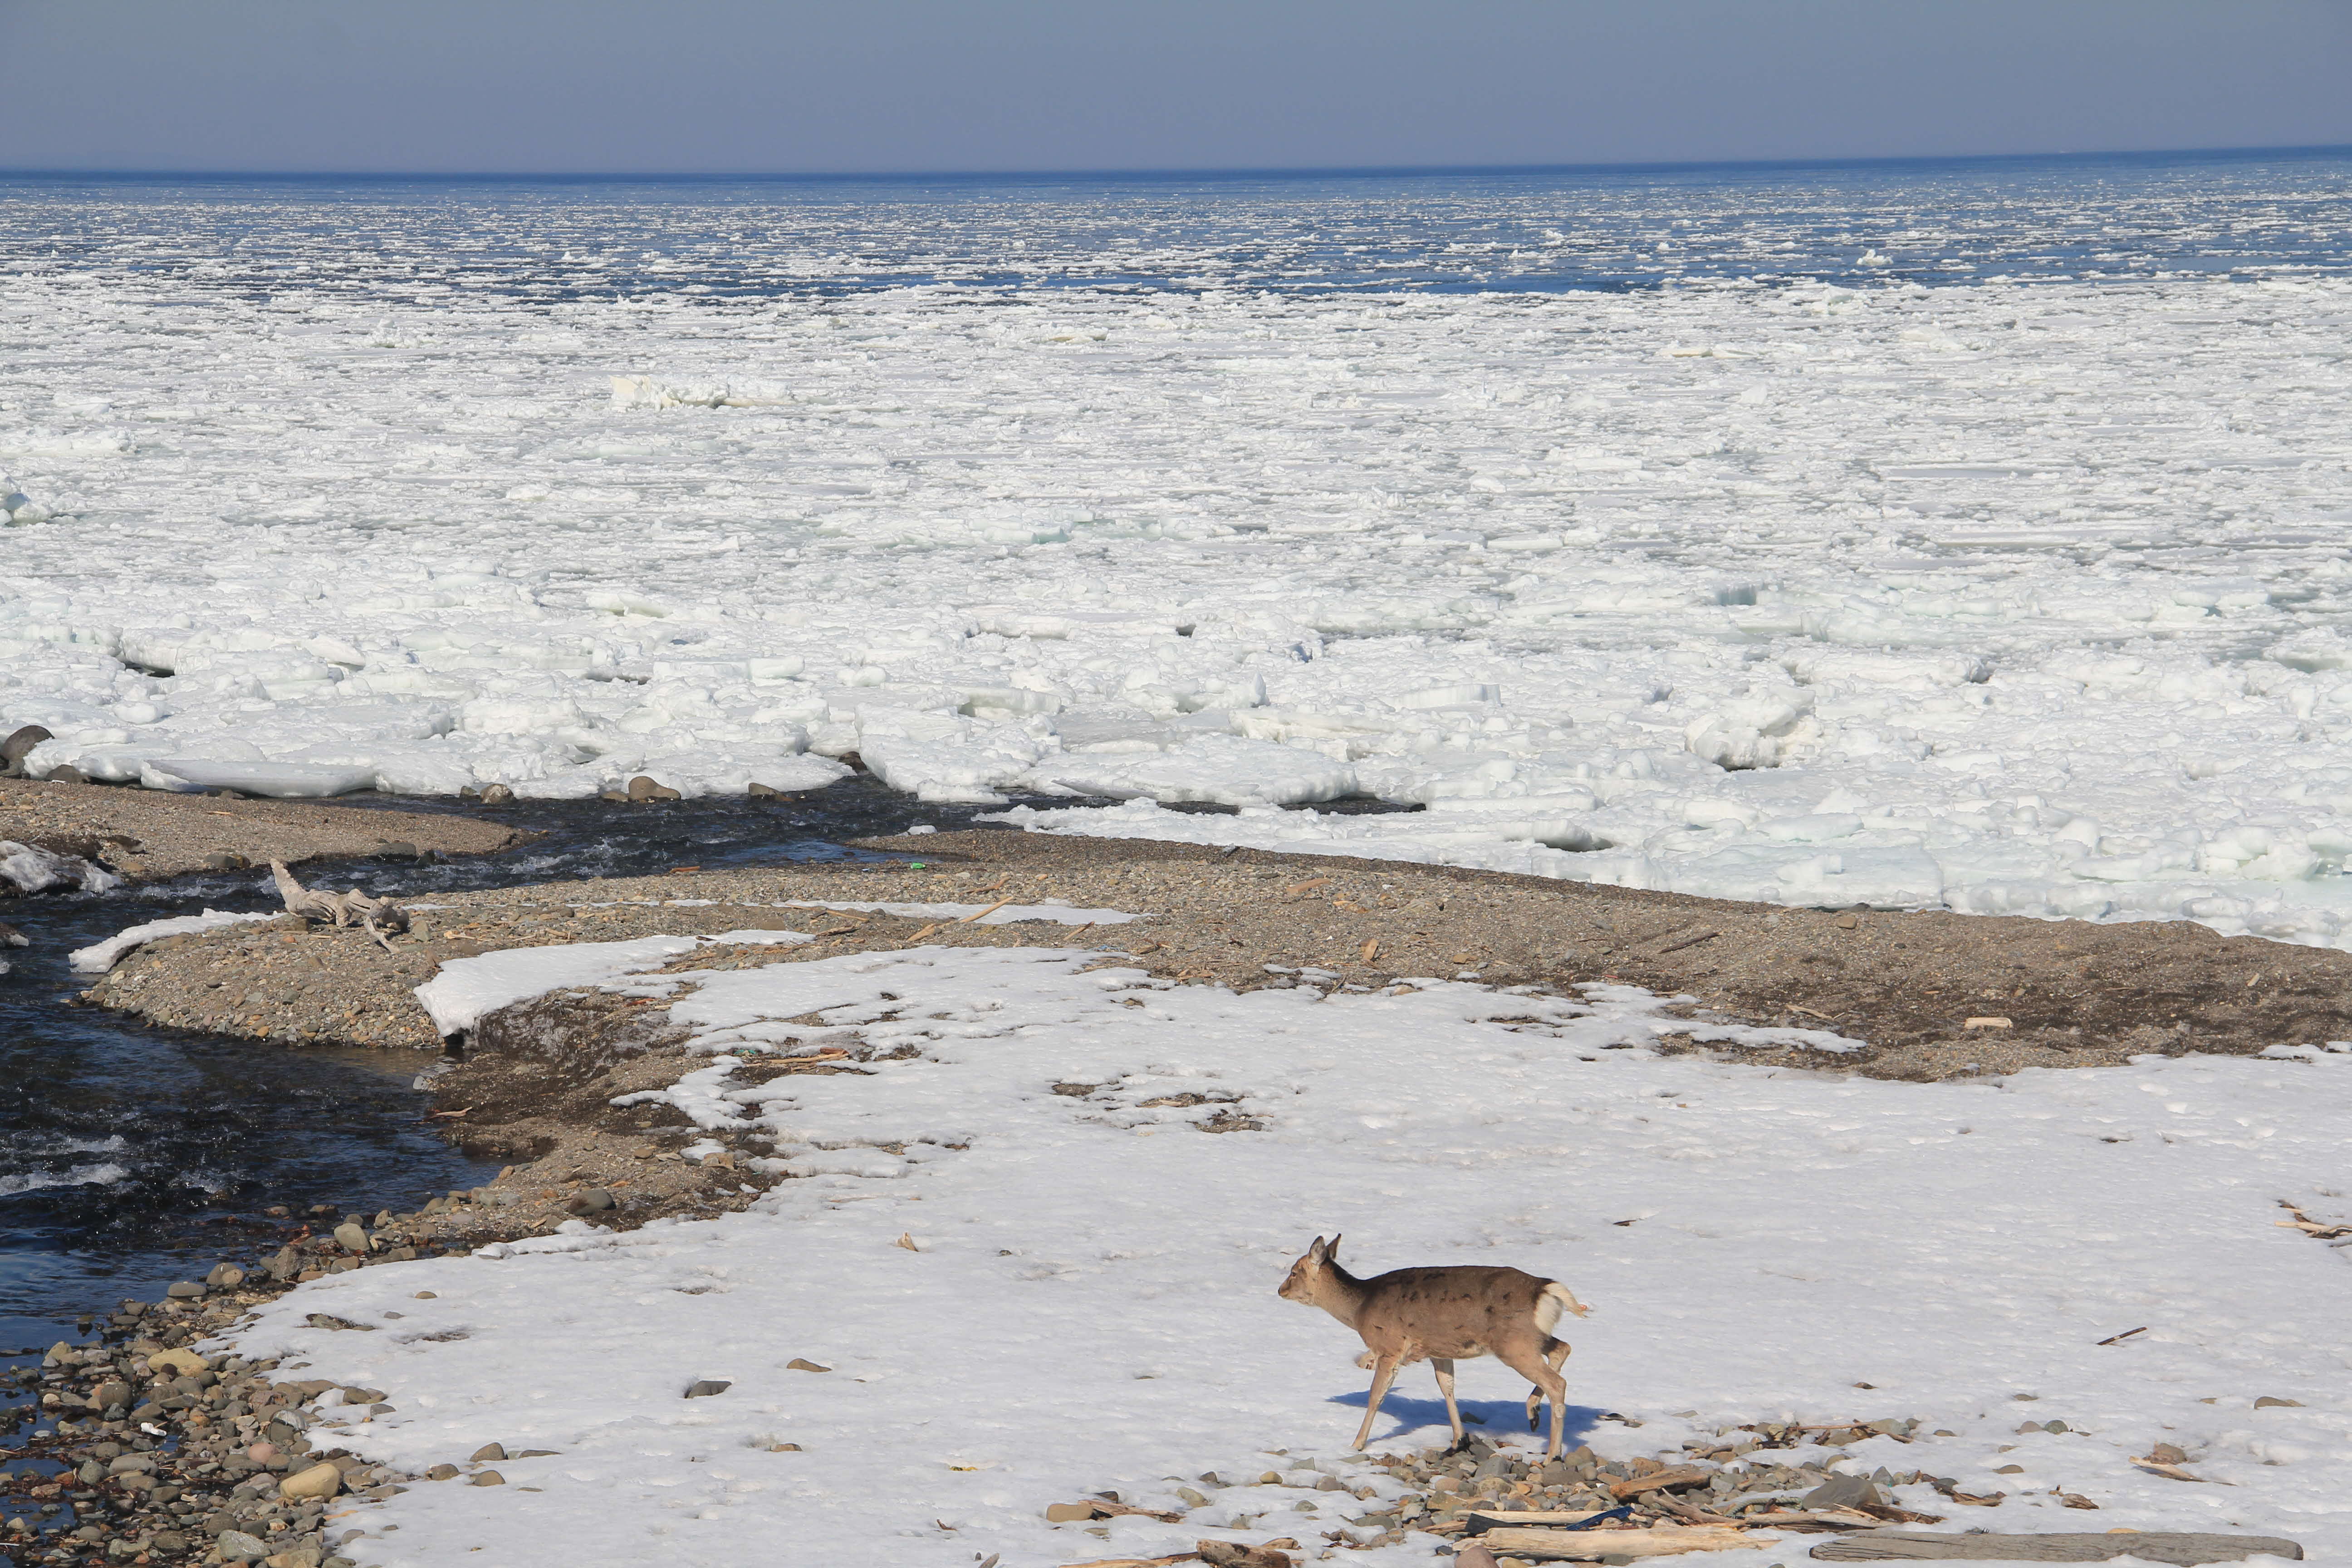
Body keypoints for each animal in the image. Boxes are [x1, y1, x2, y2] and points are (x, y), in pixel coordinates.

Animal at [1279, 1241, 1590, 1457]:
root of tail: (1545, 1290)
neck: (1360, 1309)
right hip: (1530, 1337)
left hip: (1514, 1344)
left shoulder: (1390, 1347)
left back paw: (1552, 1454)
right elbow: (1447, 1387)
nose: (1281, 1290)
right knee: (1563, 1348)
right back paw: (1533, 1413)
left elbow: (1376, 1396)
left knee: (1557, 1382)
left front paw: (1356, 1444)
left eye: (1294, 1271)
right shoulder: (1438, 1351)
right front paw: (1458, 1441)